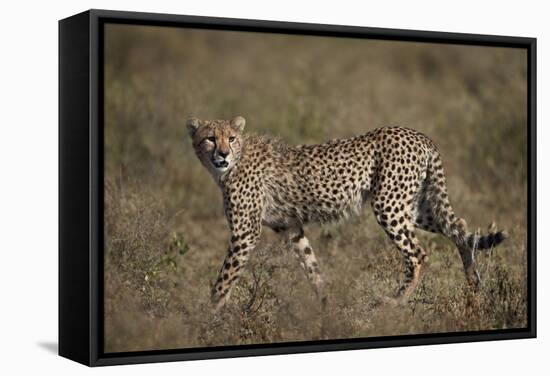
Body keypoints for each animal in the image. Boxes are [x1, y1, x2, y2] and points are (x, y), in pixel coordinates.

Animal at [188, 115, 512, 312]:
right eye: (210, 138)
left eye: (230, 138)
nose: (222, 154)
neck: (232, 163)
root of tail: (417, 134)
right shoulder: (290, 227)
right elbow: (311, 265)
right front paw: (326, 304)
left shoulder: (245, 233)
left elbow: (225, 277)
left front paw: (209, 314)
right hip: (415, 206)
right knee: (460, 227)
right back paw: (474, 288)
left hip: (389, 205)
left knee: (419, 254)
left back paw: (395, 301)